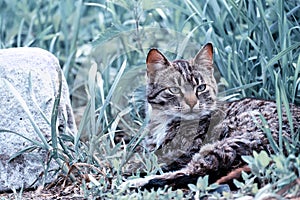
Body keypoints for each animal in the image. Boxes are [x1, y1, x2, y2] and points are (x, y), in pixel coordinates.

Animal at [122, 43, 300, 189]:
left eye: (201, 88)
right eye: (174, 90)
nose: (192, 103)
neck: (163, 121)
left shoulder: (183, 153)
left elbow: (157, 162)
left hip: (231, 141)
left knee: (197, 173)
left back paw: (135, 182)